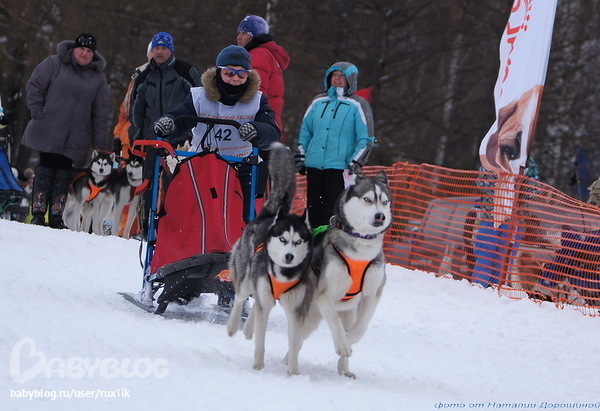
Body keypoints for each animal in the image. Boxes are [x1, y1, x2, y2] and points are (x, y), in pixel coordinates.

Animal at [226, 142, 319, 376]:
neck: (283, 274)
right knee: (241, 297)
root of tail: (268, 215)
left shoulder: (295, 310)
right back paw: (233, 326)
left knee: (258, 304)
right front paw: (258, 366)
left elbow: (294, 343)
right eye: (283, 239)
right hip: (246, 277)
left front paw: (294, 373)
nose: (289, 256)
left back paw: (248, 328)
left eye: (298, 241)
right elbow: (261, 341)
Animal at [313, 167, 392, 378]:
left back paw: (344, 369)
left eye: (384, 201)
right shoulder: (324, 294)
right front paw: (342, 344)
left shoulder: (373, 293)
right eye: (367, 199)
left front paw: (349, 340)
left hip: (349, 311)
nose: (380, 216)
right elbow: (334, 321)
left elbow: (360, 327)